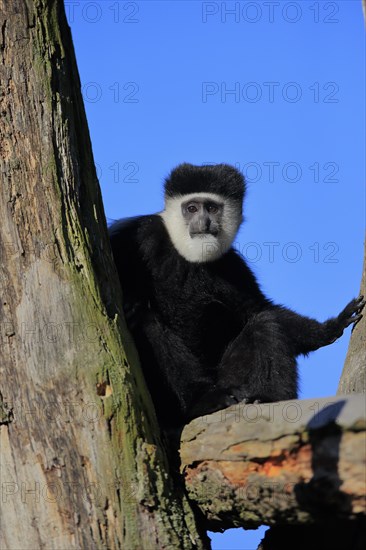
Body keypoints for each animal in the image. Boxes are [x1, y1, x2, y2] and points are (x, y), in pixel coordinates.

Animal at [108, 164, 364, 432]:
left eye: (212, 208)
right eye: (192, 208)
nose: (204, 222)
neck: (189, 256)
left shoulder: (233, 266)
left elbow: (257, 308)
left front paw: (330, 327)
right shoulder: (141, 234)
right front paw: (130, 302)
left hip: (231, 379)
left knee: (265, 324)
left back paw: (269, 398)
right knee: (146, 325)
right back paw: (204, 401)